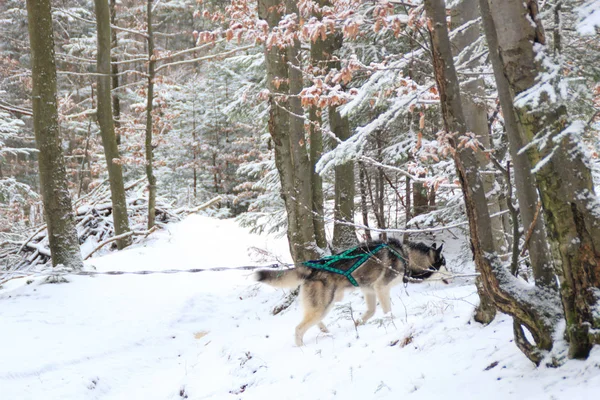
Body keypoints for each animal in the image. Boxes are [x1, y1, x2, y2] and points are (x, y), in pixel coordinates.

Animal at [255, 239, 448, 346]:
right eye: (444, 264)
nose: (453, 275)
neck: (405, 256)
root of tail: (312, 267)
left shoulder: (369, 290)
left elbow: (371, 312)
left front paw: (358, 323)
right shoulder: (381, 288)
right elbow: (387, 312)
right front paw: (391, 323)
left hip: (324, 304)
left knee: (313, 320)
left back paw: (325, 331)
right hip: (324, 305)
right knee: (299, 328)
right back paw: (301, 348)